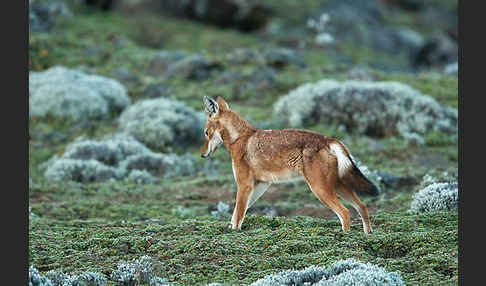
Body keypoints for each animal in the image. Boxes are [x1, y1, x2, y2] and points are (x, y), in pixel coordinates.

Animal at [199, 96, 378, 235]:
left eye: (206, 133)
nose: (202, 155)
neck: (240, 138)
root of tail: (329, 139)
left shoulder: (244, 185)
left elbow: (238, 215)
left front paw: (234, 232)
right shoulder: (261, 185)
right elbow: (237, 212)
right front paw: (229, 229)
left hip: (320, 190)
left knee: (345, 213)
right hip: (337, 187)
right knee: (362, 207)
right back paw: (368, 236)